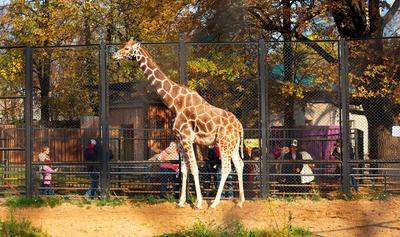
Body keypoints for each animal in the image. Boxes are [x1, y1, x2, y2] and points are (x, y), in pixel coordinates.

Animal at [111, 38, 245, 208]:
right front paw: (181, 202)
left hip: (223, 142)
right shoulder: (179, 139)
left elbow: (194, 168)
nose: (114, 56)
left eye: (127, 48)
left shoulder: (187, 138)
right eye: (123, 46)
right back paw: (240, 202)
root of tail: (239, 126)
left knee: (227, 168)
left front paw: (198, 203)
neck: (174, 101)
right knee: (239, 164)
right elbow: (184, 170)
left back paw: (214, 203)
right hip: (232, 144)